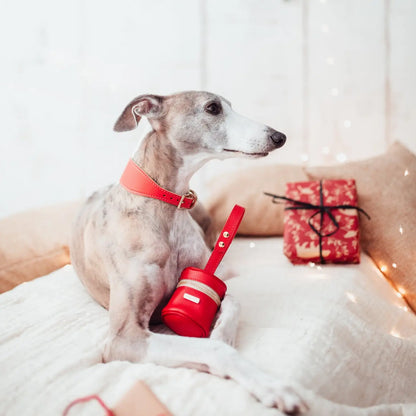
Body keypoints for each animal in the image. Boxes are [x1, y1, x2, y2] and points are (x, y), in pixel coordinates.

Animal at [70, 91, 308, 412]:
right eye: (213, 108)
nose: (279, 136)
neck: (164, 208)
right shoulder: (124, 337)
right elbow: (213, 349)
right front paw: (271, 385)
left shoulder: (205, 277)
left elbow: (232, 301)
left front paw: (222, 333)